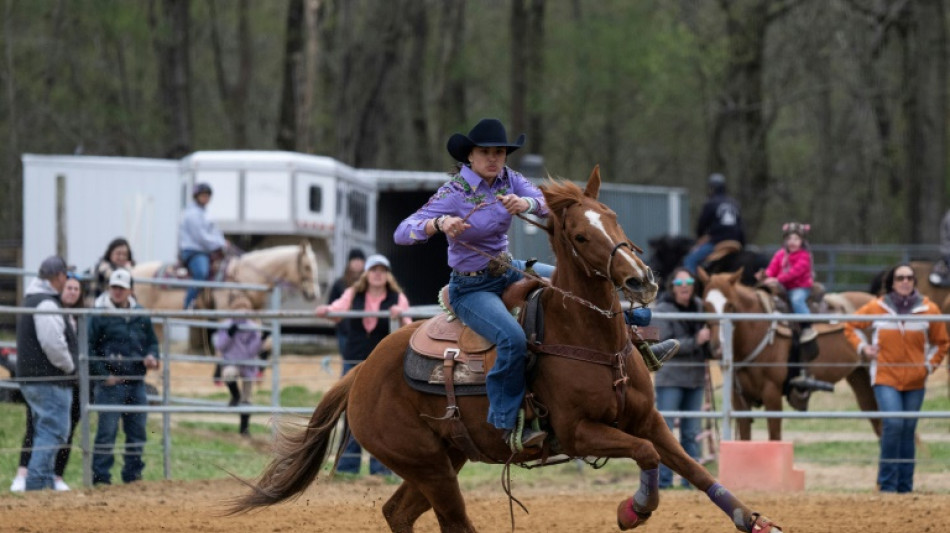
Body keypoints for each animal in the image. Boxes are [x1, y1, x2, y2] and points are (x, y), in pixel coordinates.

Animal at [231, 167, 780, 532]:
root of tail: (359, 374)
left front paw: (753, 520)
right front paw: (634, 510)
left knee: (398, 512)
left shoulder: (648, 419)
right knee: (452, 522)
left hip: (445, 458)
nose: (641, 281)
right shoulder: (579, 432)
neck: (587, 337)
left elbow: (690, 467)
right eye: (581, 234)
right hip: (427, 464)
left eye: (613, 217)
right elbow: (646, 456)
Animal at [696, 270, 880, 440]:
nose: (717, 347)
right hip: (860, 378)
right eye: (705, 306)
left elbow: (774, 437)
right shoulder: (739, 399)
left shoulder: (772, 394)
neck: (758, 331)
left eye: (730, 306)